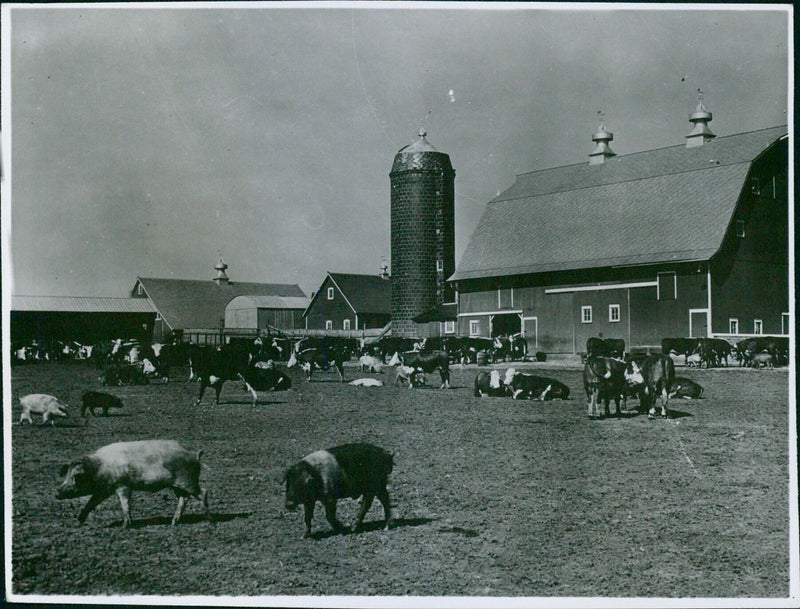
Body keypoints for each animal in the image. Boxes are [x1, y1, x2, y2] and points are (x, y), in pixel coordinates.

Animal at [57, 436, 211, 528]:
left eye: (75, 477)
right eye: (67, 475)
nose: (57, 492)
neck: (100, 468)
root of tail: (195, 455)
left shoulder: (123, 486)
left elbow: (125, 504)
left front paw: (125, 526)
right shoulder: (104, 490)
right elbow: (90, 504)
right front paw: (77, 523)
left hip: (188, 481)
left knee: (203, 492)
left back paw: (207, 518)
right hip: (177, 485)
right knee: (184, 499)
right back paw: (173, 523)